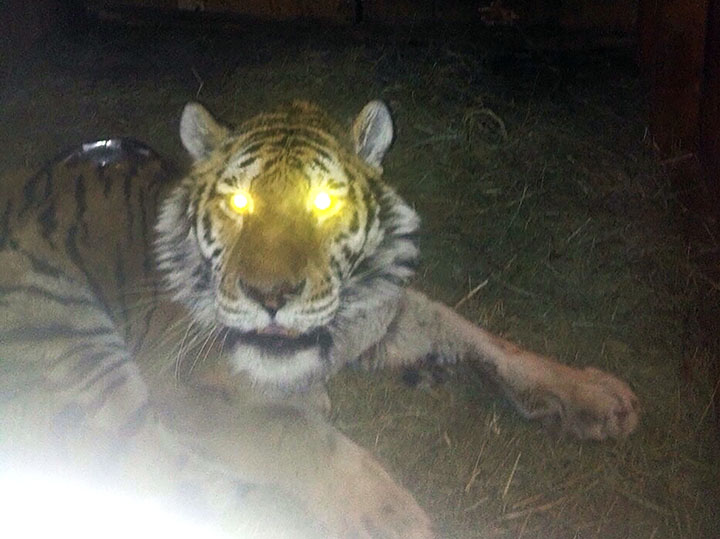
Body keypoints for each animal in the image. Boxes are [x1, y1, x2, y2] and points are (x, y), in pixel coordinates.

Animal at [2, 99, 640, 536]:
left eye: (324, 202)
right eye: (238, 202)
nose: (271, 295)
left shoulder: (383, 315)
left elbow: (480, 336)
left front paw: (596, 396)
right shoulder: (180, 383)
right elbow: (298, 435)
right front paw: (394, 519)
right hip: (79, 348)